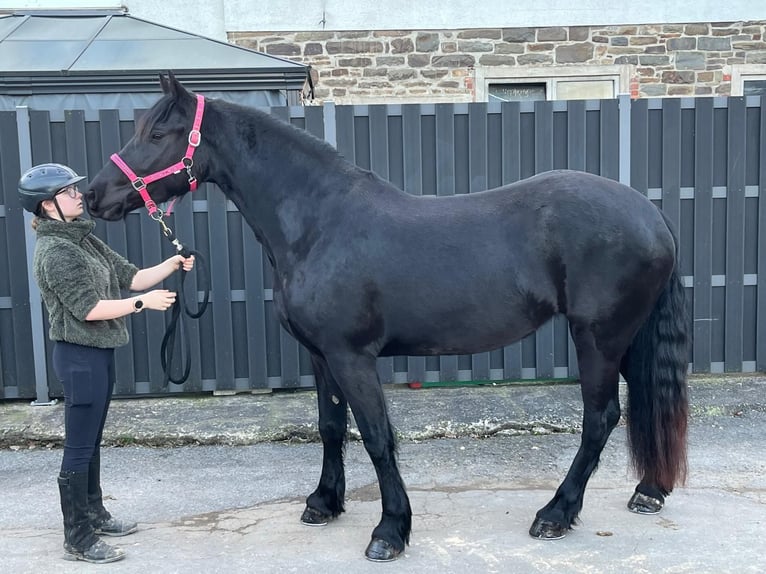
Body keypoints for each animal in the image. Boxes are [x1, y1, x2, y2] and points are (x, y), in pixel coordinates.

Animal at [86, 73, 690, 562]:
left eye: (157, 134)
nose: (93, 196)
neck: (319, 223)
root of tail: (650, 212)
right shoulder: (321, 356)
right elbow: (331, 427)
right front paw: (324, 503)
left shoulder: (352, 358)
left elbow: (377, 436)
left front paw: (390, 531)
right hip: (623, 339)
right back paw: (647, 492)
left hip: (597, 338)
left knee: (600, 418)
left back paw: (555, 514)